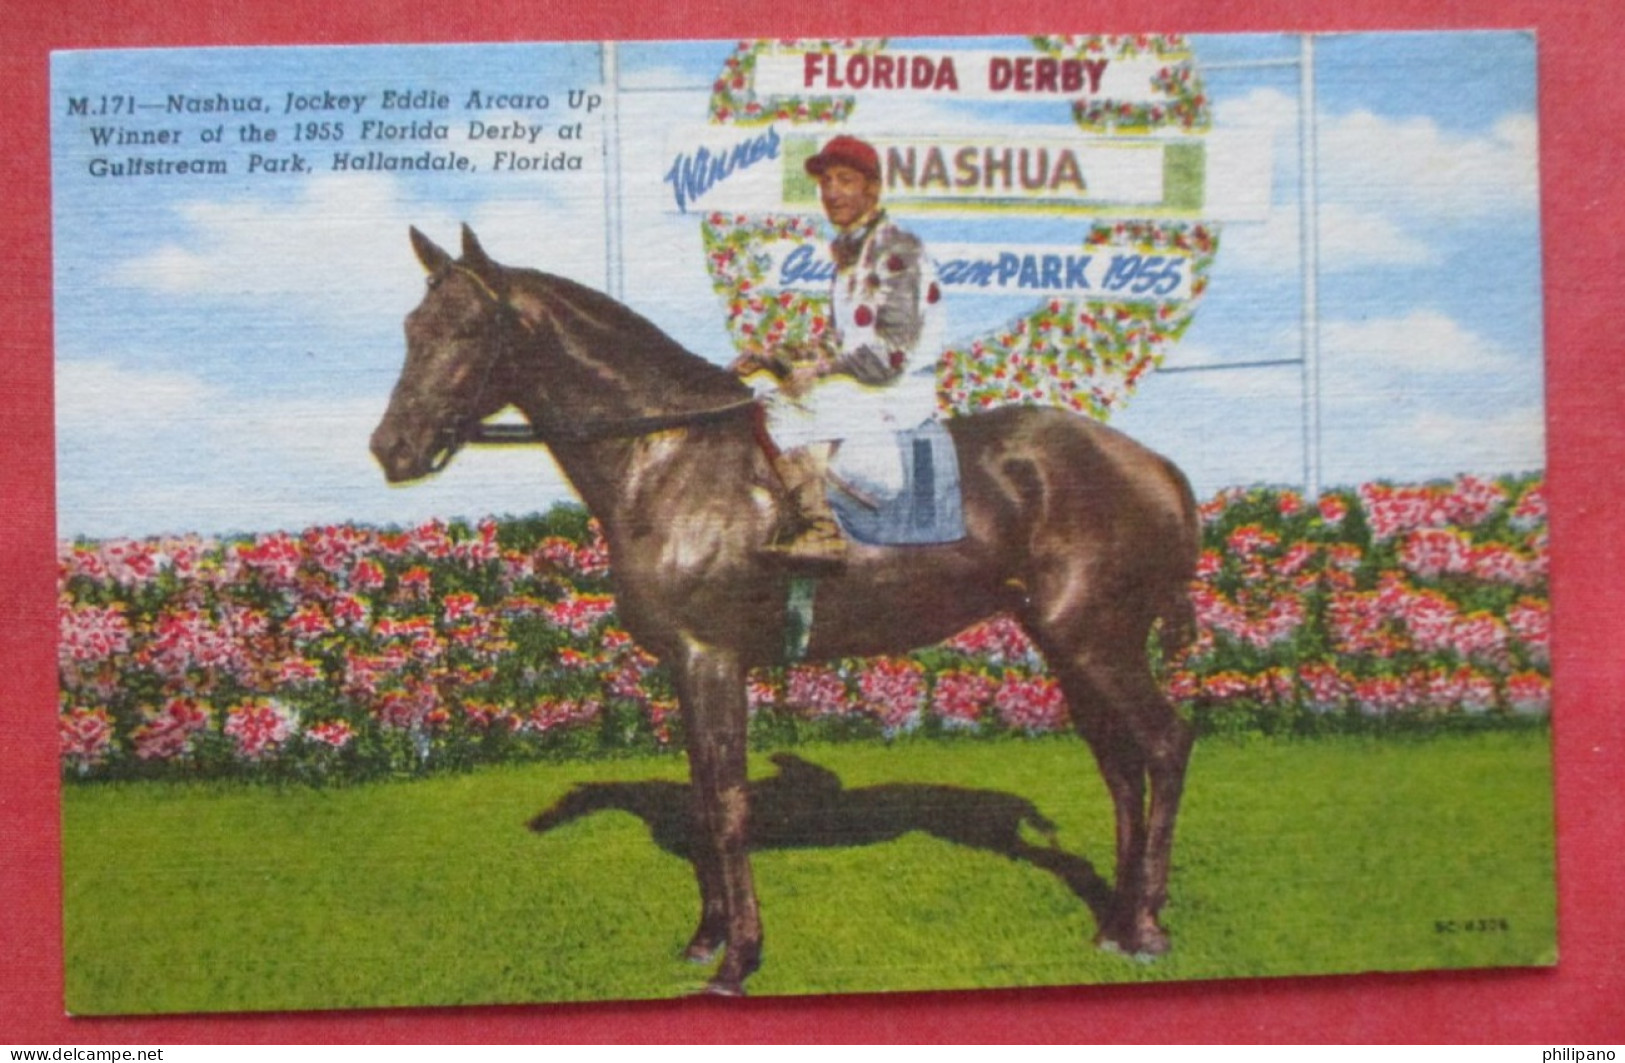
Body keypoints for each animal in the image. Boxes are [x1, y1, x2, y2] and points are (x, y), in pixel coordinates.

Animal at [372, 224, 1209, 1001]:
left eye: (467, 329)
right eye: (412, 327)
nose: (391, 448)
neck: (670, 460)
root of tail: (1155, 465)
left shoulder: (712, 657)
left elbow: (728, 805)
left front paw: (738, 958)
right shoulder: (685, 665)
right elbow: (703, 796)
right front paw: (705, 937)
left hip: (1096, 639)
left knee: (1164, 744)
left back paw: (1145, 926)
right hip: (1066, 642)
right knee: (1118, 764)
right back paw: (1114, 920)